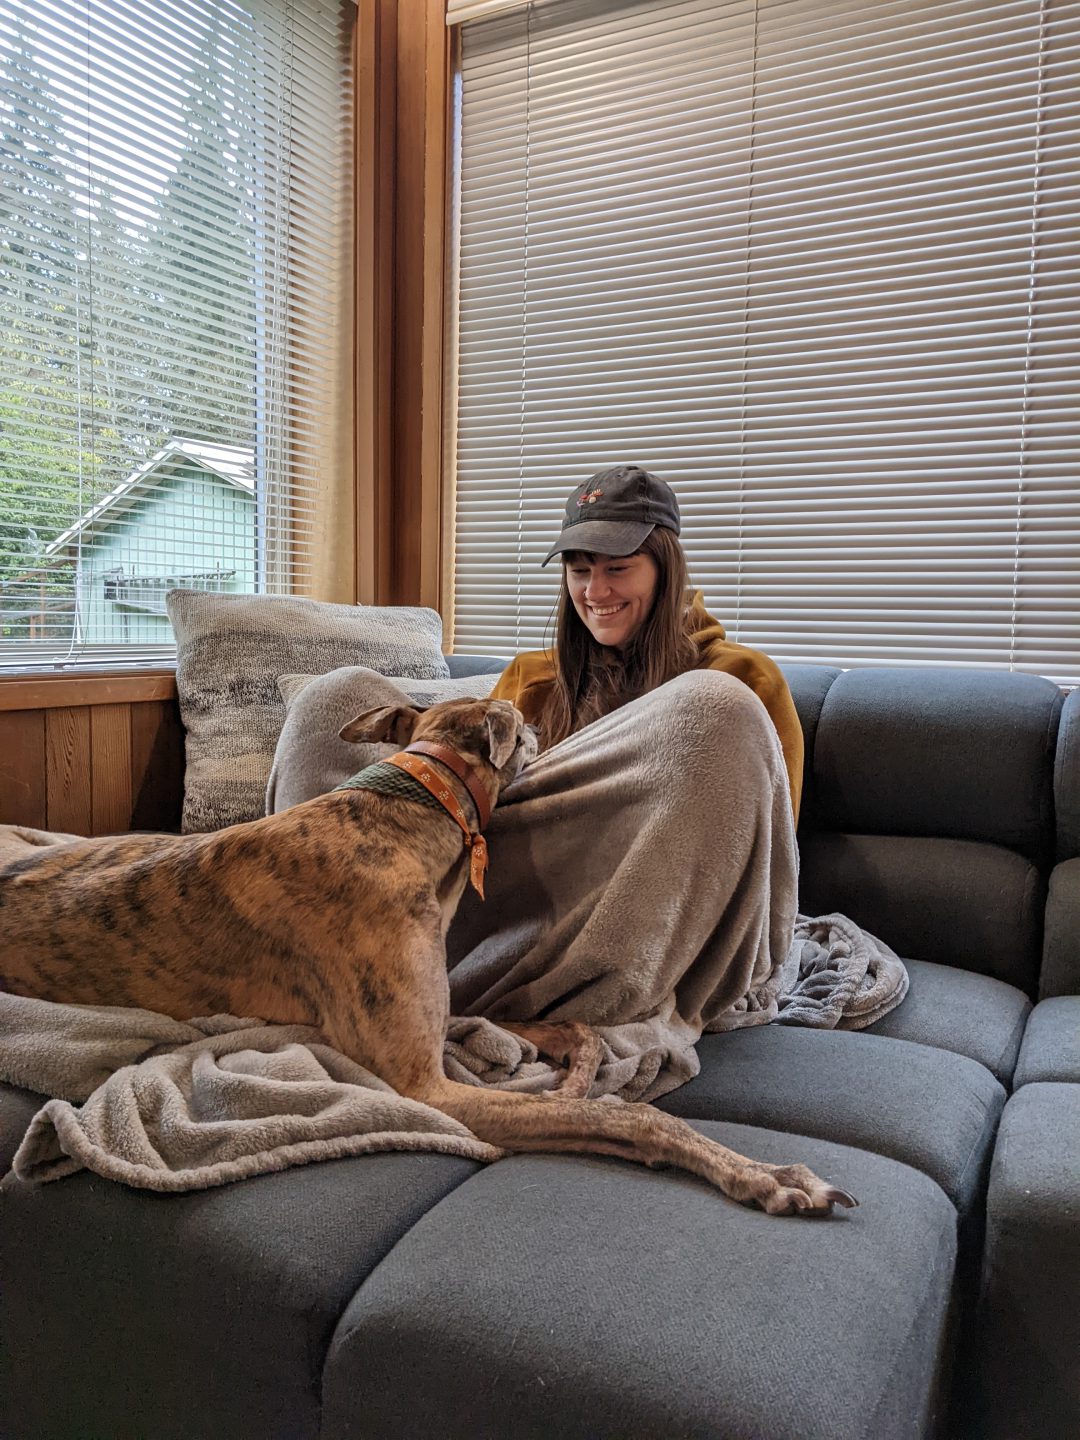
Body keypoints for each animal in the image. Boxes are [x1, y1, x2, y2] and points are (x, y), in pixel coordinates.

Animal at [2, 696, 864, 1215]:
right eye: (527, 726)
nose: (552, 724)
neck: (403, 814)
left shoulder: (439, 1014)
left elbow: (562, 1031)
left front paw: (570, 1062)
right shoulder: (426, 1086)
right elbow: (635, 1120)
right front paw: (769, 1175)